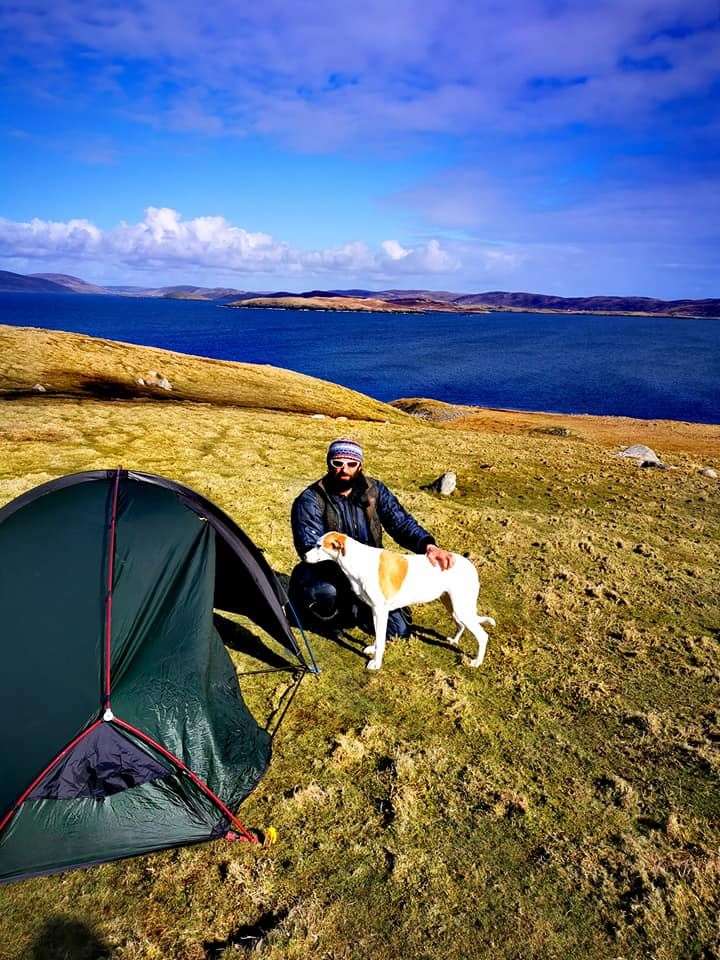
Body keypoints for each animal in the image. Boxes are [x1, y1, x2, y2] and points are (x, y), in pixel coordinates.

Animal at [304, 532, 496, 676]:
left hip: (461, 608)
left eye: (319, 546)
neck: (358, 561)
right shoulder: (375, 612)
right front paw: (373, 649)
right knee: (461, 625)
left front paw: (376, 663)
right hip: (452, 605)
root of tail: (470, 565)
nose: (304, 556)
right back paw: (454, 641)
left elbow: (381, 639)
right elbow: (378, 636)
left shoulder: (380, 611)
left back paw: (476, 662)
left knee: (482, 636)